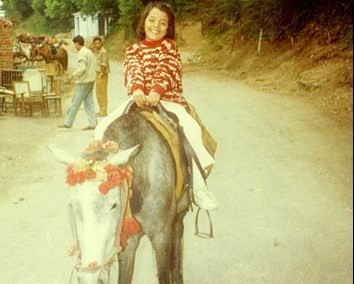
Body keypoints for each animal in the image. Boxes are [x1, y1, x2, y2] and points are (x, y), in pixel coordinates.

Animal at [47, 107, 191, 282]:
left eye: (114, 205)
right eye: (73, 206)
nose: (89, 276)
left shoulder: (161, 236)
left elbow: (164, 274)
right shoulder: (127, 241)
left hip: (179, 215)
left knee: (178, 237)